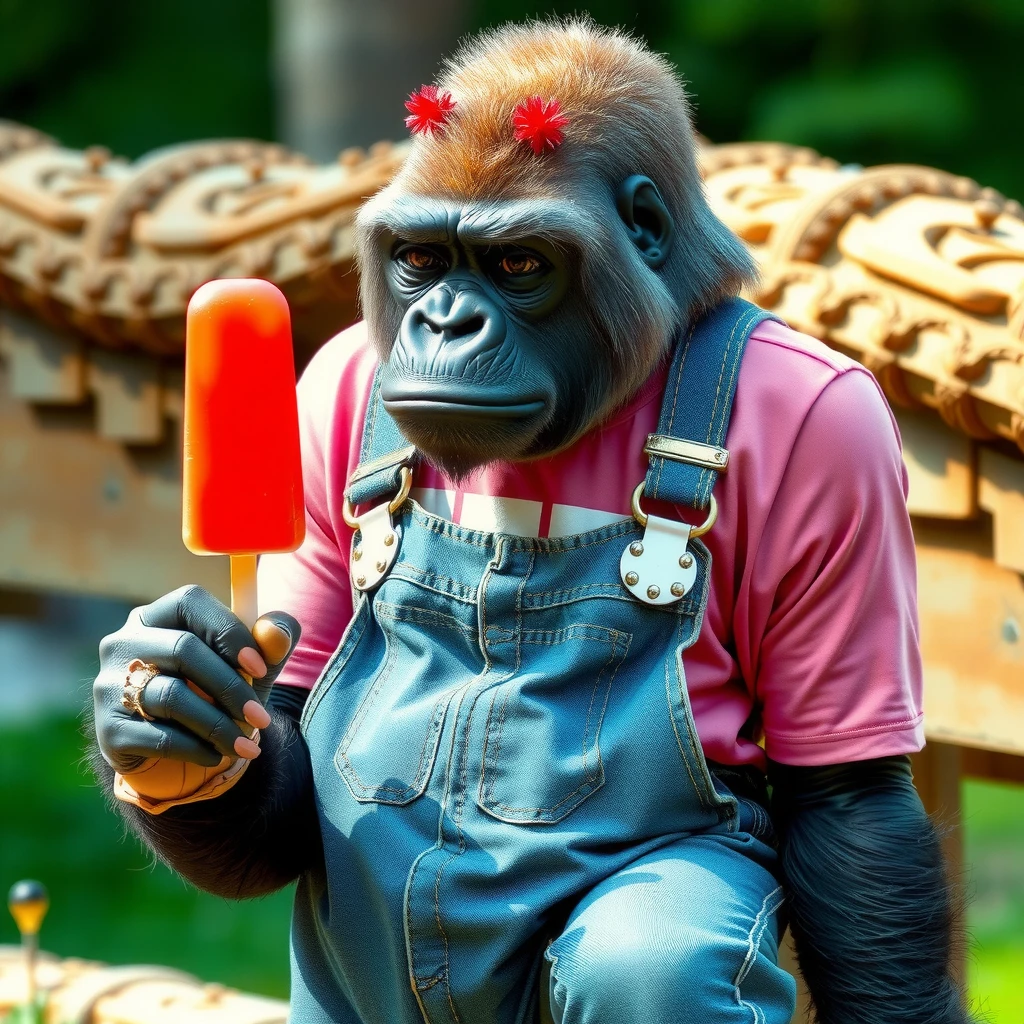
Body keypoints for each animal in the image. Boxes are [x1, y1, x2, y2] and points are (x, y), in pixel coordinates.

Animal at [92, 16, 970, 1024]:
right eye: (421, 259)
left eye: (517, 263)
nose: (444, 323)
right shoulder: (311, 398)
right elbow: (282, 719)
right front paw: (174, 710)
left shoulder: (843, 441)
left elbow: (852, 806)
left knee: (655, 950)